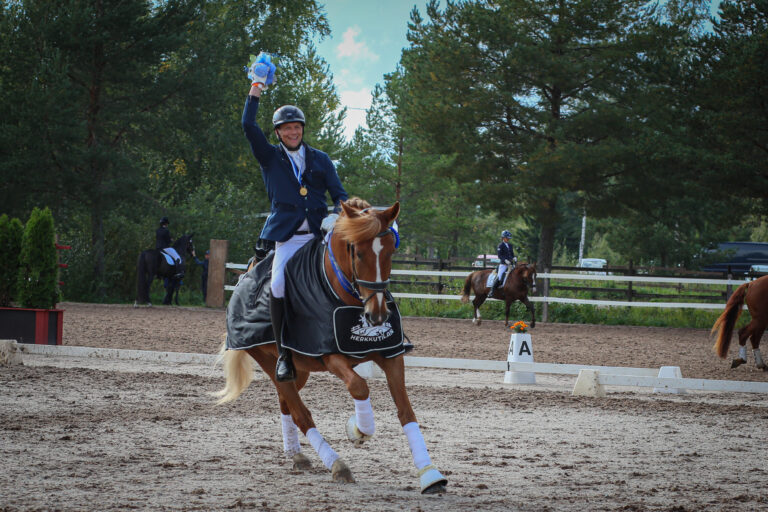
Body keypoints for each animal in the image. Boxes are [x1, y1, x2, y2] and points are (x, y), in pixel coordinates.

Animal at [213, 198, 448, 494]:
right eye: (357, 253)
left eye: (390, 252)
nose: (377, 316)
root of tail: (246, 274)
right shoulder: (330, 357)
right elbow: (359, 387)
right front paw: (358, 430)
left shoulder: (391, 355)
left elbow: (406, 410)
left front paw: (430, 475)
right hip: (270, 361)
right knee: (300, 412)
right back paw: (337, 464)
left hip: (300, 370)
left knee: (285, 404)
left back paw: (296, 455)